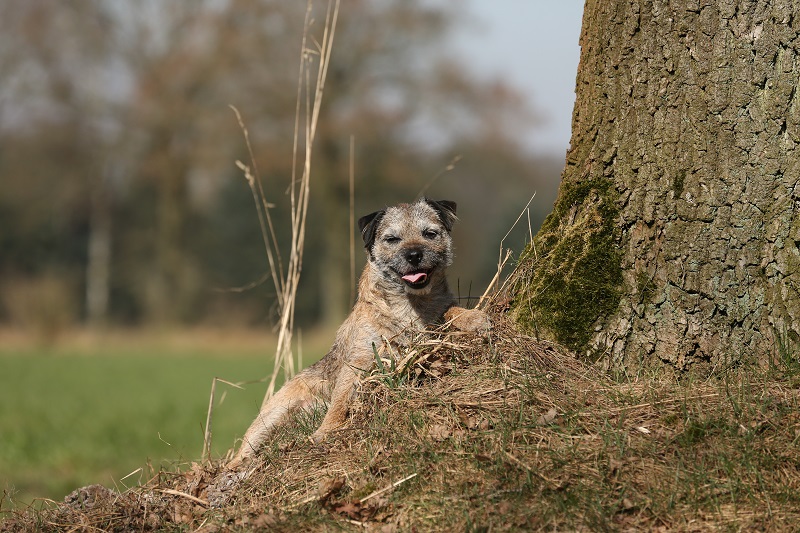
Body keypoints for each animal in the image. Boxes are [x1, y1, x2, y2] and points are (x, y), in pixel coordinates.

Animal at [225, 196, 488, 466]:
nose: (414, 254)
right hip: (274, 413)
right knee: (245, 449)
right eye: (392, 239)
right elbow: (341, 400)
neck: (410, 303)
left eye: (429, 233)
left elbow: (451, 310)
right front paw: (327, 430)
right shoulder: (359, 360)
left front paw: (473, 318)